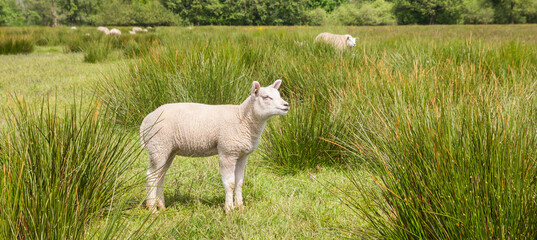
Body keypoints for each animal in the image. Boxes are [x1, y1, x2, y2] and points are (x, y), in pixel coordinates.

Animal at [139, 80, 288, 212]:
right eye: (266, 97)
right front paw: (229, 209)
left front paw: (240, 207)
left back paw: (161, 206)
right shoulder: (227, 152)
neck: (242, 117)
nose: (286, 105)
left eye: (279, 94)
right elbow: (230, 183)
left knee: (160, 175)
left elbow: (239, 182)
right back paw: (152, 209)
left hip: (168, 150)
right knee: (151, 175)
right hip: (158, 145)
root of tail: (148, 118)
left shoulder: (242, 155)